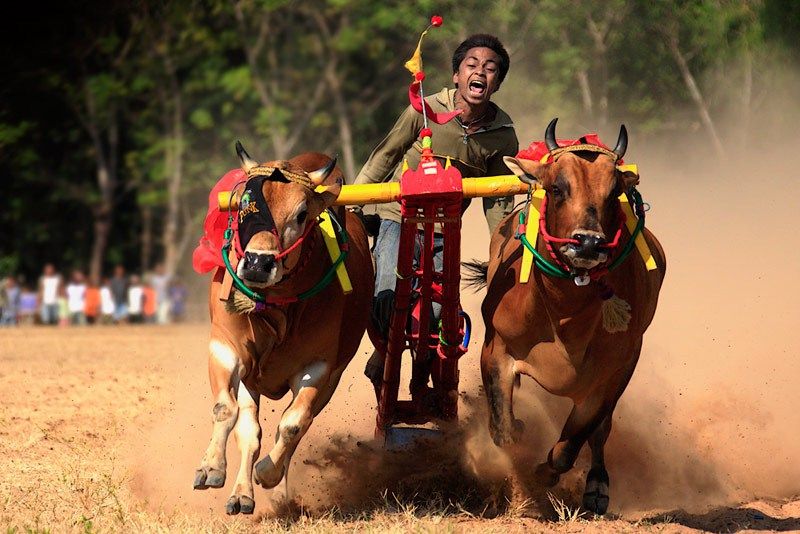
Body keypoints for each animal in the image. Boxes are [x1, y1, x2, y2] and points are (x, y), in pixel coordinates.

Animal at [192, 147, 374, 516]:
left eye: (302, 214)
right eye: (245, 205)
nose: (258, 263)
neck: (277, 310)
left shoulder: (319, 368)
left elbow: (292, 425)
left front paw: (268, 473)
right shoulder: (226, 348)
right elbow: (227, 411)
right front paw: (211, 467)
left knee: (298, 426)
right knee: (250, 431)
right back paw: (241, 495)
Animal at [472, 120, 664, 516]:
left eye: (613, 192)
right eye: (558, 188)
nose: (588, 243)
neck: (564, 318)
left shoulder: (612, 374)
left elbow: (570, 445)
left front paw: (543, 475)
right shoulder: (496, 349)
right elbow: (504, 430)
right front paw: (518, 440)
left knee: (601, 432)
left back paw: (597, 485)